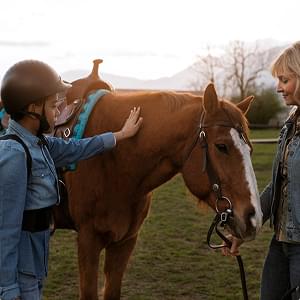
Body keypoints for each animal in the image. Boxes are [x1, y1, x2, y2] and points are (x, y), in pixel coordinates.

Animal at [55, 82, 262, 300]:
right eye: (222, 146)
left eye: (249, 149)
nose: (254, 218)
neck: (114, 161)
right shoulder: (88, 240)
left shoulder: (125, 241)